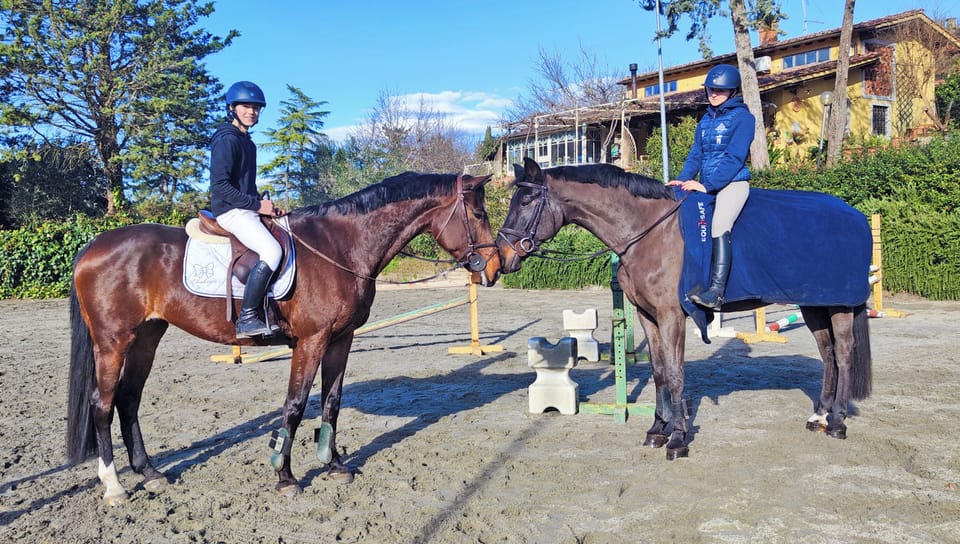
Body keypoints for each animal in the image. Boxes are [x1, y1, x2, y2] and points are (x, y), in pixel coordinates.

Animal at [67, 171, 501, 504]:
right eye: (479, 212)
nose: (497, 266)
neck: (341, 248)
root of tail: (93, 247)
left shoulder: (341, 340)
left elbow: (331, 402)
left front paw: (334, 464)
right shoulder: (311, 341)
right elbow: (294, 405)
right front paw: (285, 476)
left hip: (147, 337)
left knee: (129, 399)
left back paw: (150, 472)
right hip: (113, 342)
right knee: (103, 404)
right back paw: (115, 487)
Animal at [497, 158, 872, 460]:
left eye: (527, 200)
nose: (502, 255)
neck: (648, 232)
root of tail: (856, 216)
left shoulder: (671, 316)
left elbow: (676, 374)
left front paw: (678, 438)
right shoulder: (648, 317)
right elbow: (659, 372)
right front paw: (657, 430)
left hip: (839, 305)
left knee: (843, 355)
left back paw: (837, 422)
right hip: (814, 305)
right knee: (827, 355)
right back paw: (819, 416)